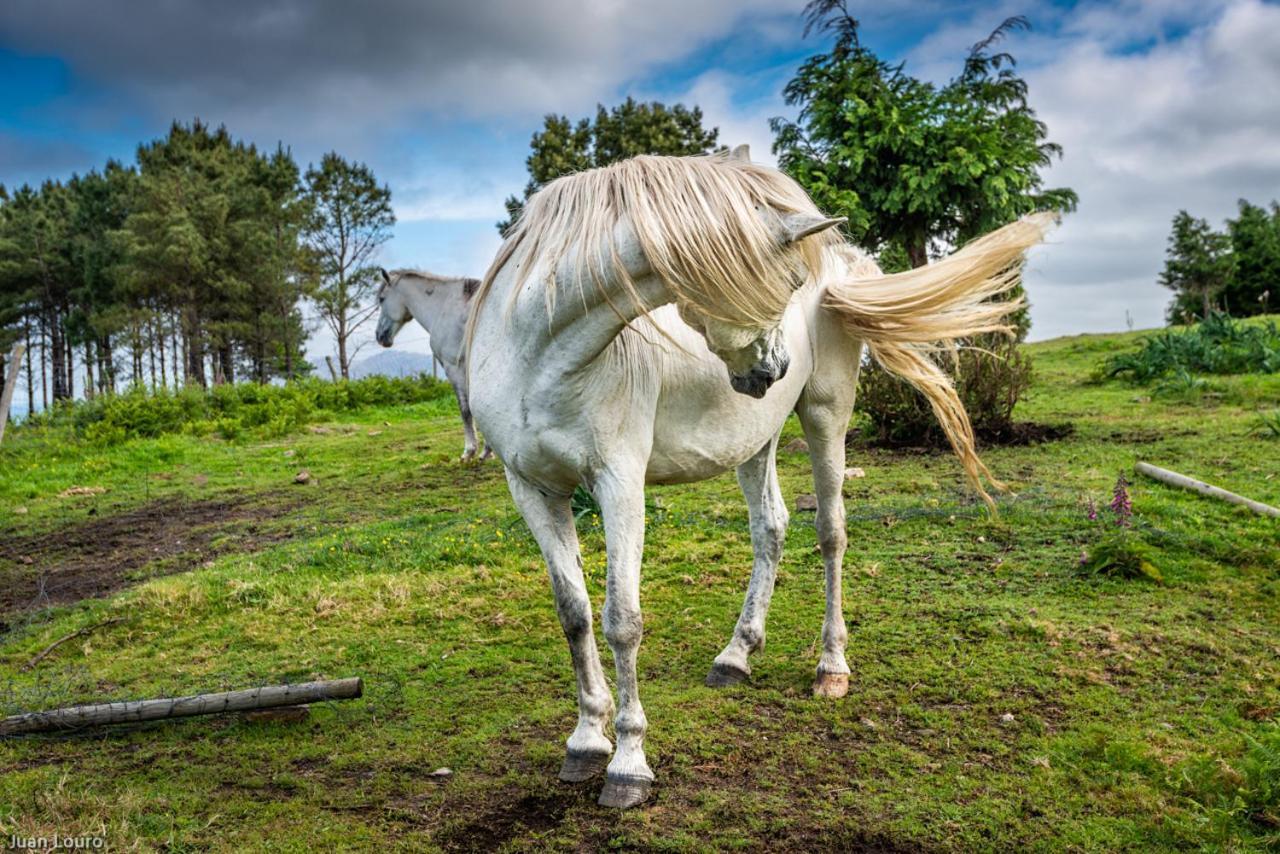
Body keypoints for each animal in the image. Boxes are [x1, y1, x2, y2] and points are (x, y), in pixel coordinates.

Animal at [376, 272, 491, 460]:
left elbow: (465, 409)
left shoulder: (454, 368)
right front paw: (487, 451)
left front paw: (469, 451)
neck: (444, 307)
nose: (379, 336)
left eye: (381, 299)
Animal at [465, 147, 1044, 809]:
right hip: (754, 442)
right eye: (788, 281)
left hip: (825, 415)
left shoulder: (619, 485)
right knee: (771, 528)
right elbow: (575, 614)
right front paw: (587, 739)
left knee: (831, 532)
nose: (775, 367)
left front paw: (629, 764)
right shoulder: (533, 491)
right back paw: (736, 655)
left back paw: (831, 667)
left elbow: (622, 621)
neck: (537, 352)